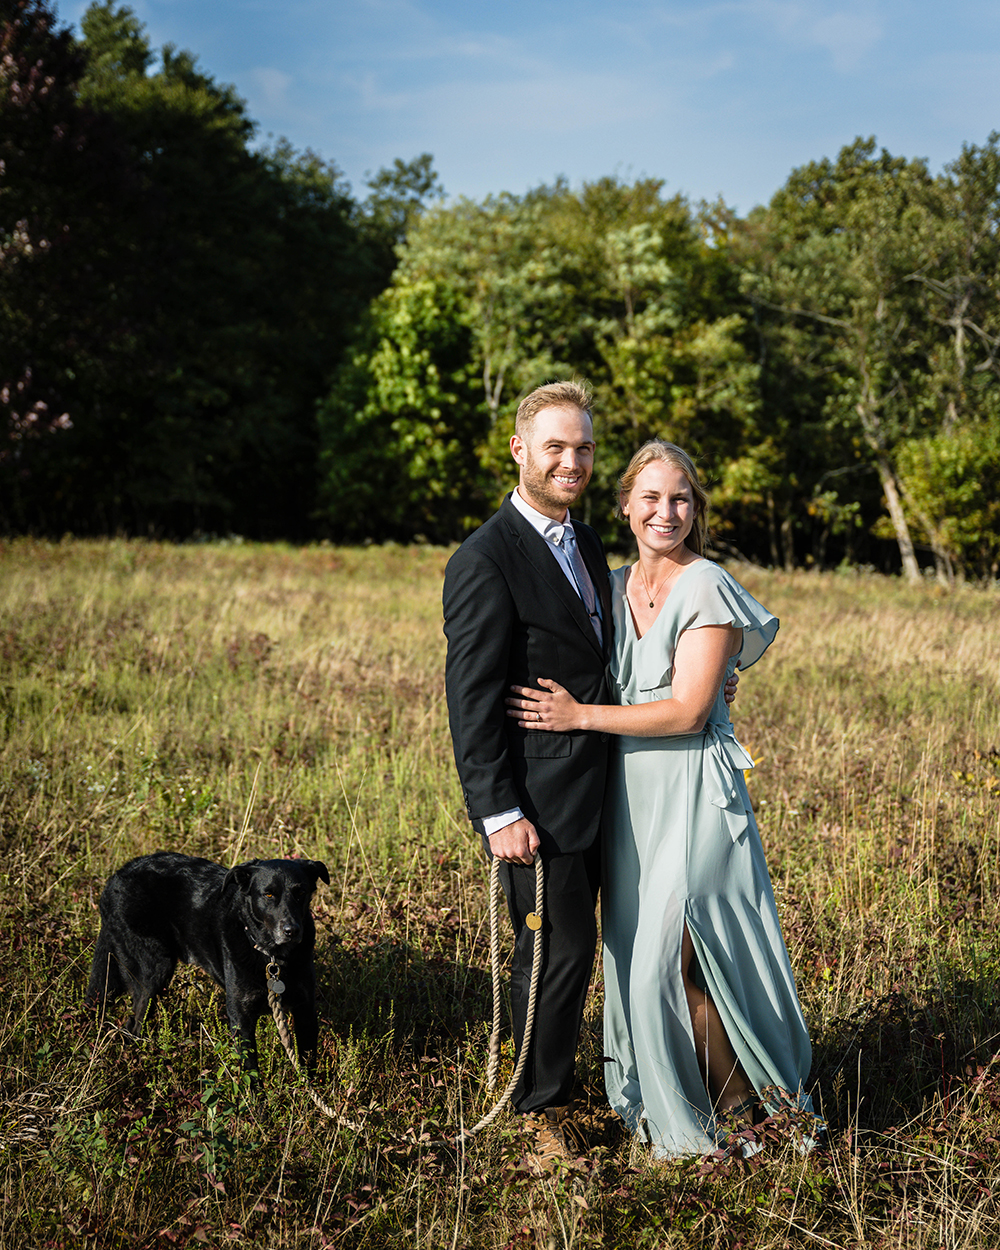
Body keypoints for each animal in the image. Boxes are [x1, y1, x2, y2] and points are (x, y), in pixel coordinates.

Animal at [86, 855, 327, 1080]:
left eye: (300, 892)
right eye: (268, 894)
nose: (292, 931)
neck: (272, 957)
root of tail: (114, 879)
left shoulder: (305, 1011)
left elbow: (309, 1065)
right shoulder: (241, 1018)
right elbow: (251, 1075)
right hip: (153, 974)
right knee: (133, 1026)